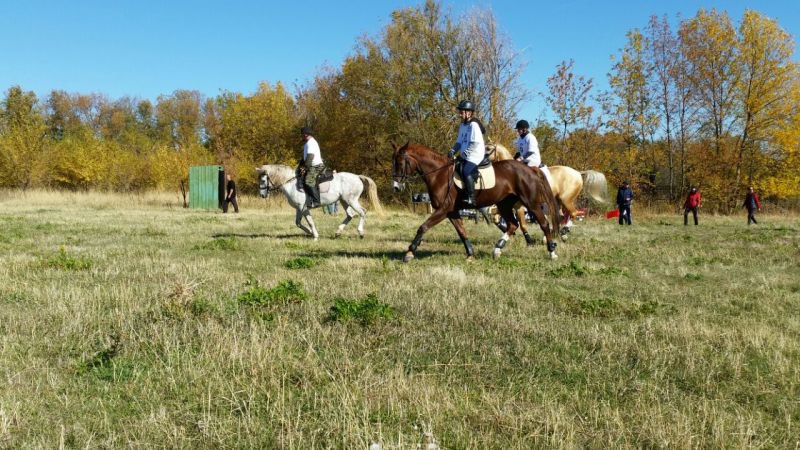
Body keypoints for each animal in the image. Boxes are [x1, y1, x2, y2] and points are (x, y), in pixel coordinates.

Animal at [390, 141, 560, 260]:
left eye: (400, 163)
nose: (396, 187)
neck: (439, 174)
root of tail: (530, 169)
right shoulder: (451, 211)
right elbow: (462, 231)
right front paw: (470, 254)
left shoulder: (444, 209)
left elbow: (423, 227)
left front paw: (410, 252)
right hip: (504, 204)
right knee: (512, 224)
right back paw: (497, 249)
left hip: (531, 203)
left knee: (544, 224)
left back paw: (552, 252)